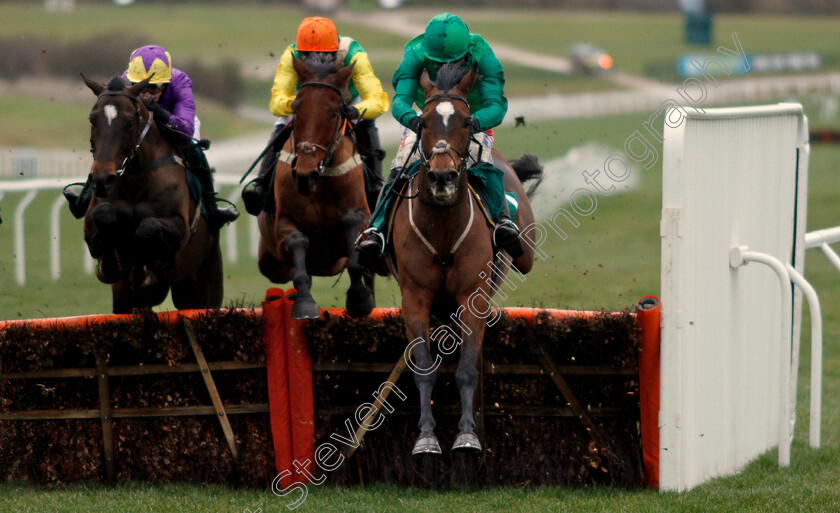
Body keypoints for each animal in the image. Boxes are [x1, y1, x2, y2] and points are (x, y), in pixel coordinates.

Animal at [79, 72, 221, 312]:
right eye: (92, 119)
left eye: (129, 122)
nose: (102, 180)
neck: (137, 181)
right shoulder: (91, 228)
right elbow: (103, 215)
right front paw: (111, 264)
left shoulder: (181, 229)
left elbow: (148, 226)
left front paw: (146, 268)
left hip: (204, 285)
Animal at [256, 57, 374, 320]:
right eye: (296, 108)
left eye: (334, 112)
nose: (304, 175)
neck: (320, 183)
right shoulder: (283, 225)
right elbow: (298, 242)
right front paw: (304, 303)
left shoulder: (361, 214)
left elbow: (353, 231)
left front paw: (360, 299)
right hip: (270, 263)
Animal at [396, 63, 544, 452]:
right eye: (422, 122)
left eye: (465, 122)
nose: (442, 176)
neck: (443, 228)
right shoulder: (415, 297)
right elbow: (424, 369)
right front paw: (426, 436)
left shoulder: (471, 297)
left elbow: (465, 370)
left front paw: (466, 434)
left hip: (524, 252)